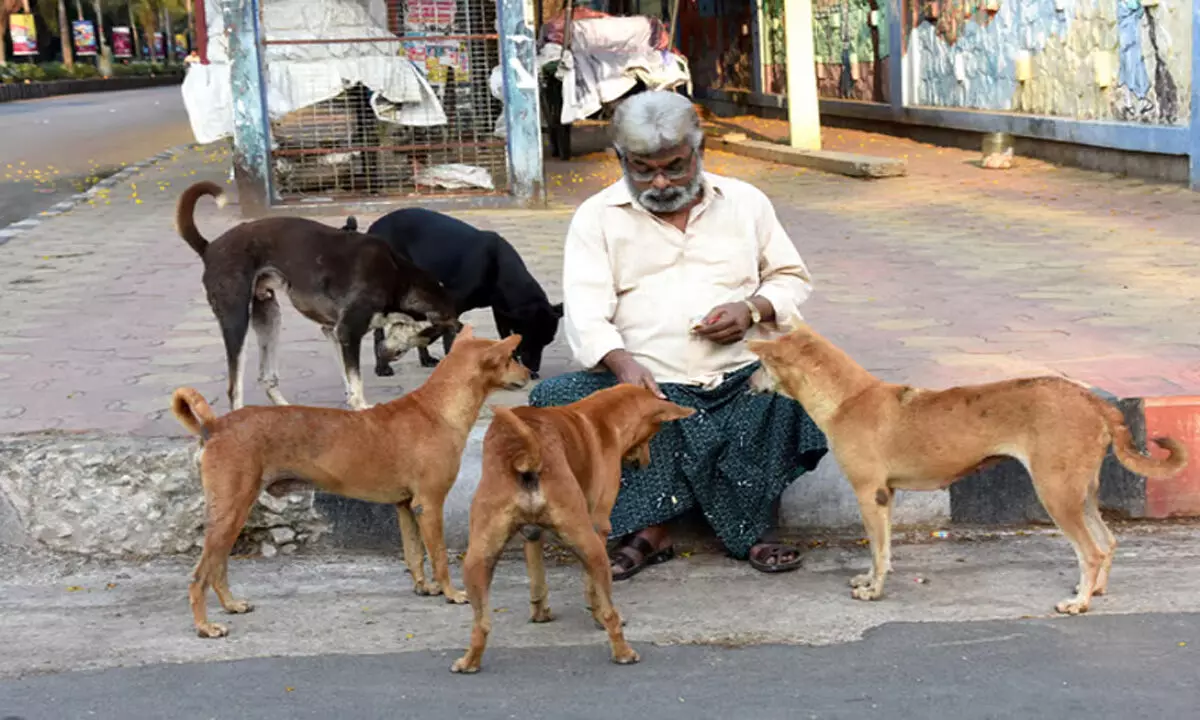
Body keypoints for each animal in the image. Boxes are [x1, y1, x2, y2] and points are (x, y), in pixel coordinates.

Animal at [171, 324, 528, 633]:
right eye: (511, 358)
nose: (530, 374)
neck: (438, 409)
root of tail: (216, 426)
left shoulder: (405, 506)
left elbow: (414, 554)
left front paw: (423, 587)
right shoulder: (429, 505)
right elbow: (438, 556)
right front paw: (452, 593)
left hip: (232, 514)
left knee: (217, 568)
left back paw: (231, 605)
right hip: (230, 512)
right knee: (199, 575)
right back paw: (205, 626)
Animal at [177, 180, 458, 410]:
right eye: (421, 338)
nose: (387, 357)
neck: (398, 277)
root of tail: (209, 248)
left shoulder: (332, 330)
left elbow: (349, 382)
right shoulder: (347, 332)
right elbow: (356, 383)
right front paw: (362, 409)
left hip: (269, 315)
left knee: (267, 378)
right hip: (236, 320)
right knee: (234, 390)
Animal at [340, 206, 559, 376]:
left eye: (547, 342)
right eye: (530, 339)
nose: (534, 369)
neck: (498, 268)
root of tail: (373, 228)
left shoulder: (500, 312)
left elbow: (505, 337)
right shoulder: (451, 306)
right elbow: (446, 337)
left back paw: (425, 359)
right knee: (379, 333)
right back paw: (382, 367)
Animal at [451, 386, 696, 672]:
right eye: (652, 433)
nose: (644, 462)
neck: (603, 418)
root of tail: (524, 455)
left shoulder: (532, 533)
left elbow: (537, 578)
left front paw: (540, 613)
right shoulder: (599, 527)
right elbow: (593, 591)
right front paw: (596, 614)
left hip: (476, 559)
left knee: (481, 624)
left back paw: (469, 661)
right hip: (590, 546)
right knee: (610, 612)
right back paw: (622, 651)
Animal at [744, 324, 1185, 612]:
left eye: (760, 366)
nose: (746, 385)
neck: (849, 398)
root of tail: (1094, 400)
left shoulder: (871, 494)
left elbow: (878, 550)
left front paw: (874, 591)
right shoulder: (888, 495)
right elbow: (880, 551)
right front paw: (869, 580)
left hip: (1056, 493)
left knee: (1091, 551)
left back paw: (1078, 602)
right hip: (1083, 491)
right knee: (1108, 542)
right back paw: (1093, 591)